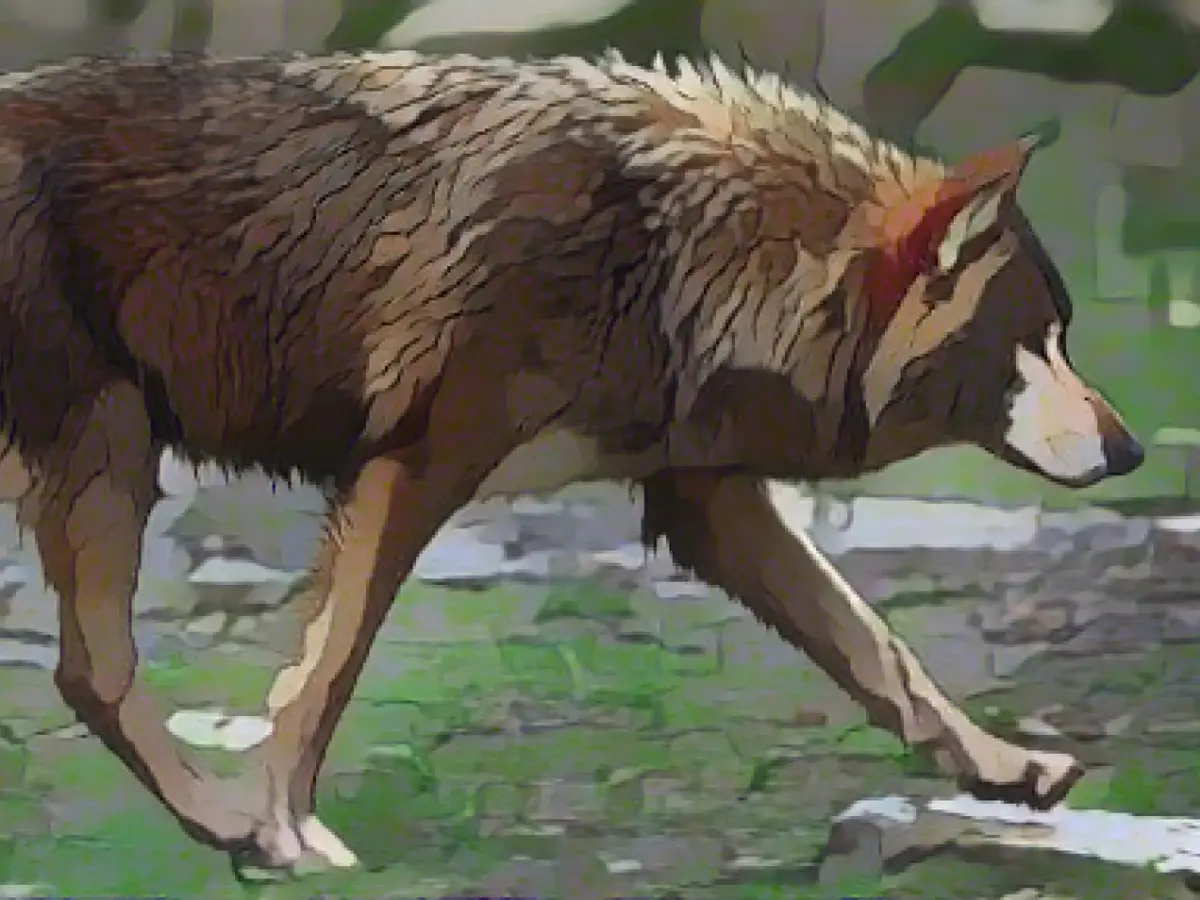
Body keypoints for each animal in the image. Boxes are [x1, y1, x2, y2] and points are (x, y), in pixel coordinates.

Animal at [0, 48, 1142, 874]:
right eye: (1034, 344)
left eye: (1066, 337)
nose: (1131, 450)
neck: (679, 250)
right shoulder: (410, 470)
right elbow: (325, 674)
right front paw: (286, 832)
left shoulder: (709, 504)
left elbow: (883, 655)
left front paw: (1010, 770)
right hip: (113, 453)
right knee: (96, 672)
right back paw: (233, 829)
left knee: (83, 674)